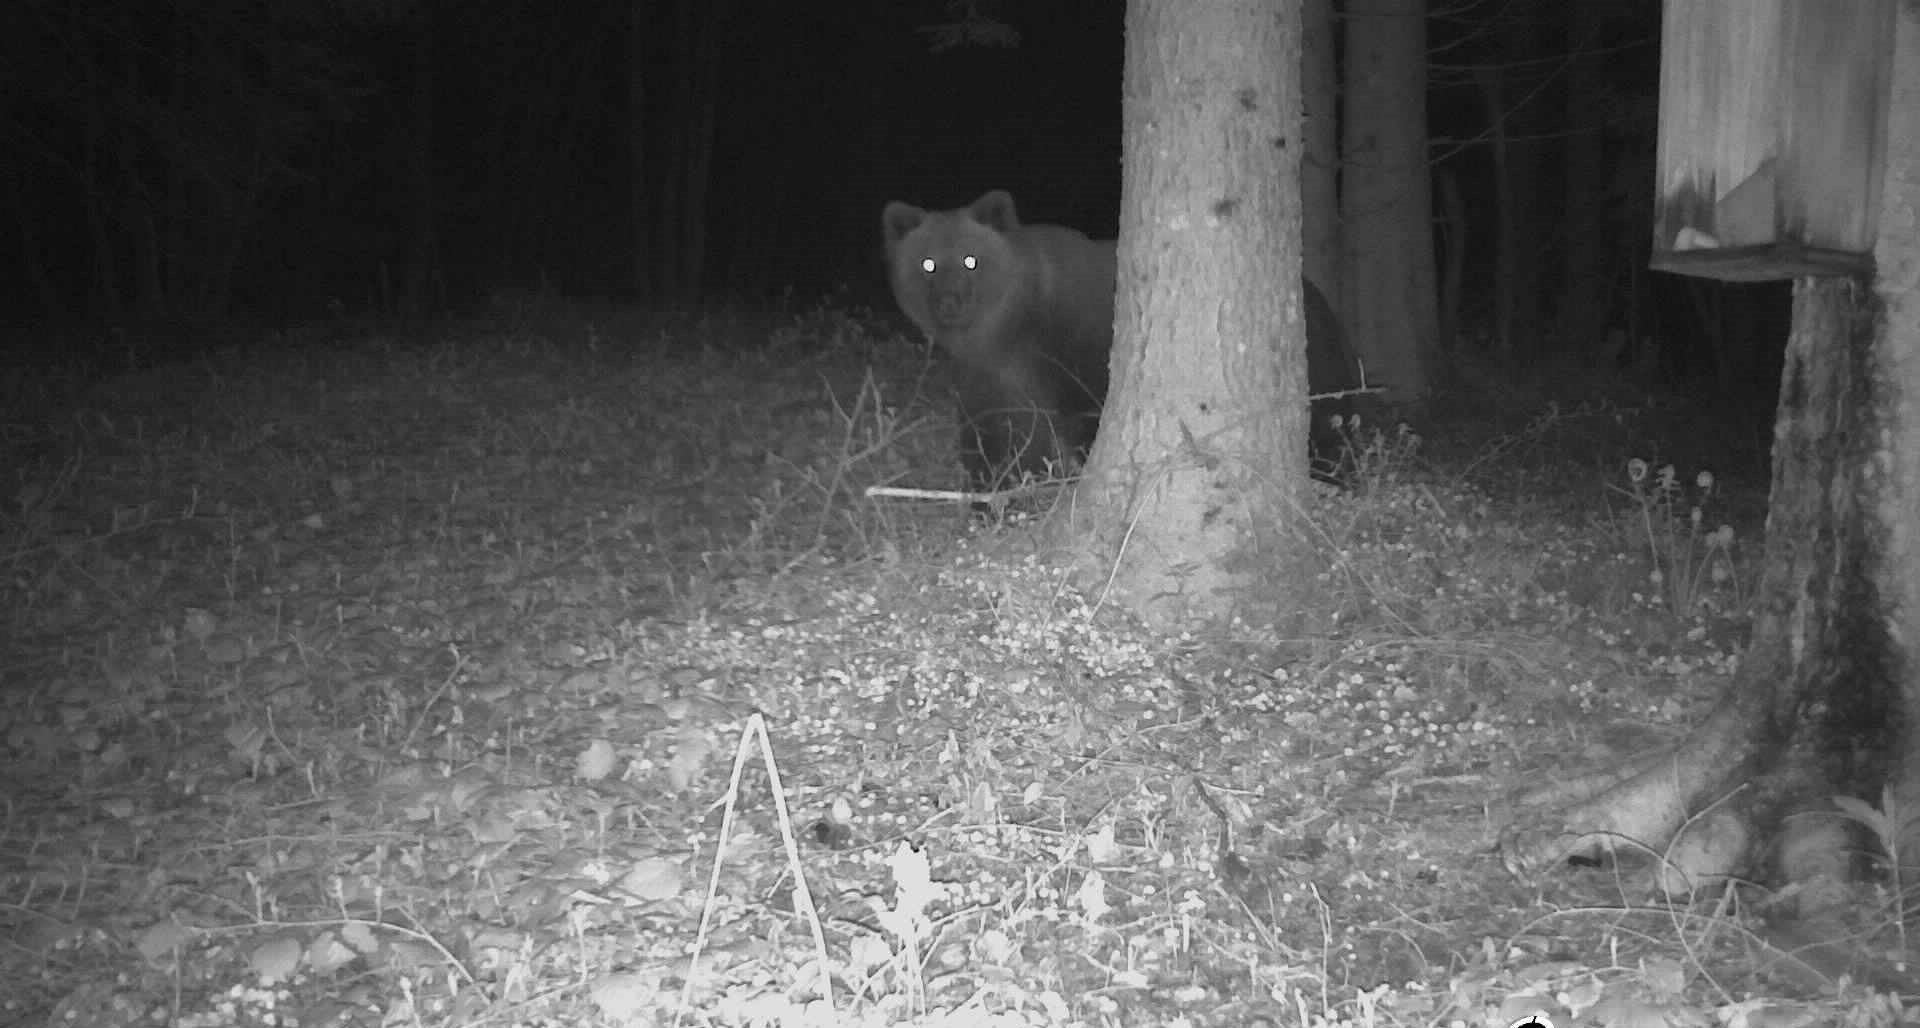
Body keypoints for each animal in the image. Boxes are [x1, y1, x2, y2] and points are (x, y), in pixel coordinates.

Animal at [882, 189, 1360, 492]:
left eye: (971, 259)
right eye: (927, 263)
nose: (950, 303)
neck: (1013, 327)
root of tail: (1319, 298)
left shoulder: (1076, 347)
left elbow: (1081, 417)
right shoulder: (987, 375)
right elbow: (995, 435)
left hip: (1318, 363)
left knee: (1329, 423)